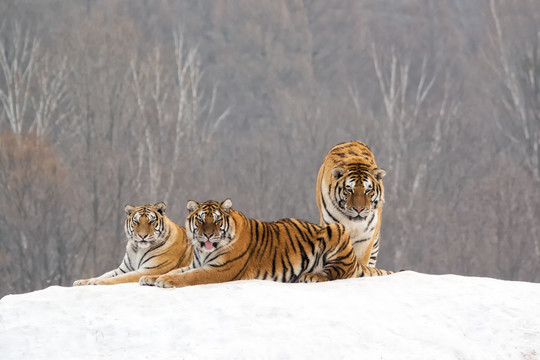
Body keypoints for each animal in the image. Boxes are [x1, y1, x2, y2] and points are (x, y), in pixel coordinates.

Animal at [139, 198, 392, 288]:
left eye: (216, 220)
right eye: (201, 220)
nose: (208, 236)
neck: (203, 251)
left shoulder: (218, 270)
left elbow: (188, 277)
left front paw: (164, 281)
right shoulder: (194, 264)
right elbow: (175, 270)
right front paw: (150, 278)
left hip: (336, 230)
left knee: (339, 272)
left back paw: (311, 276)